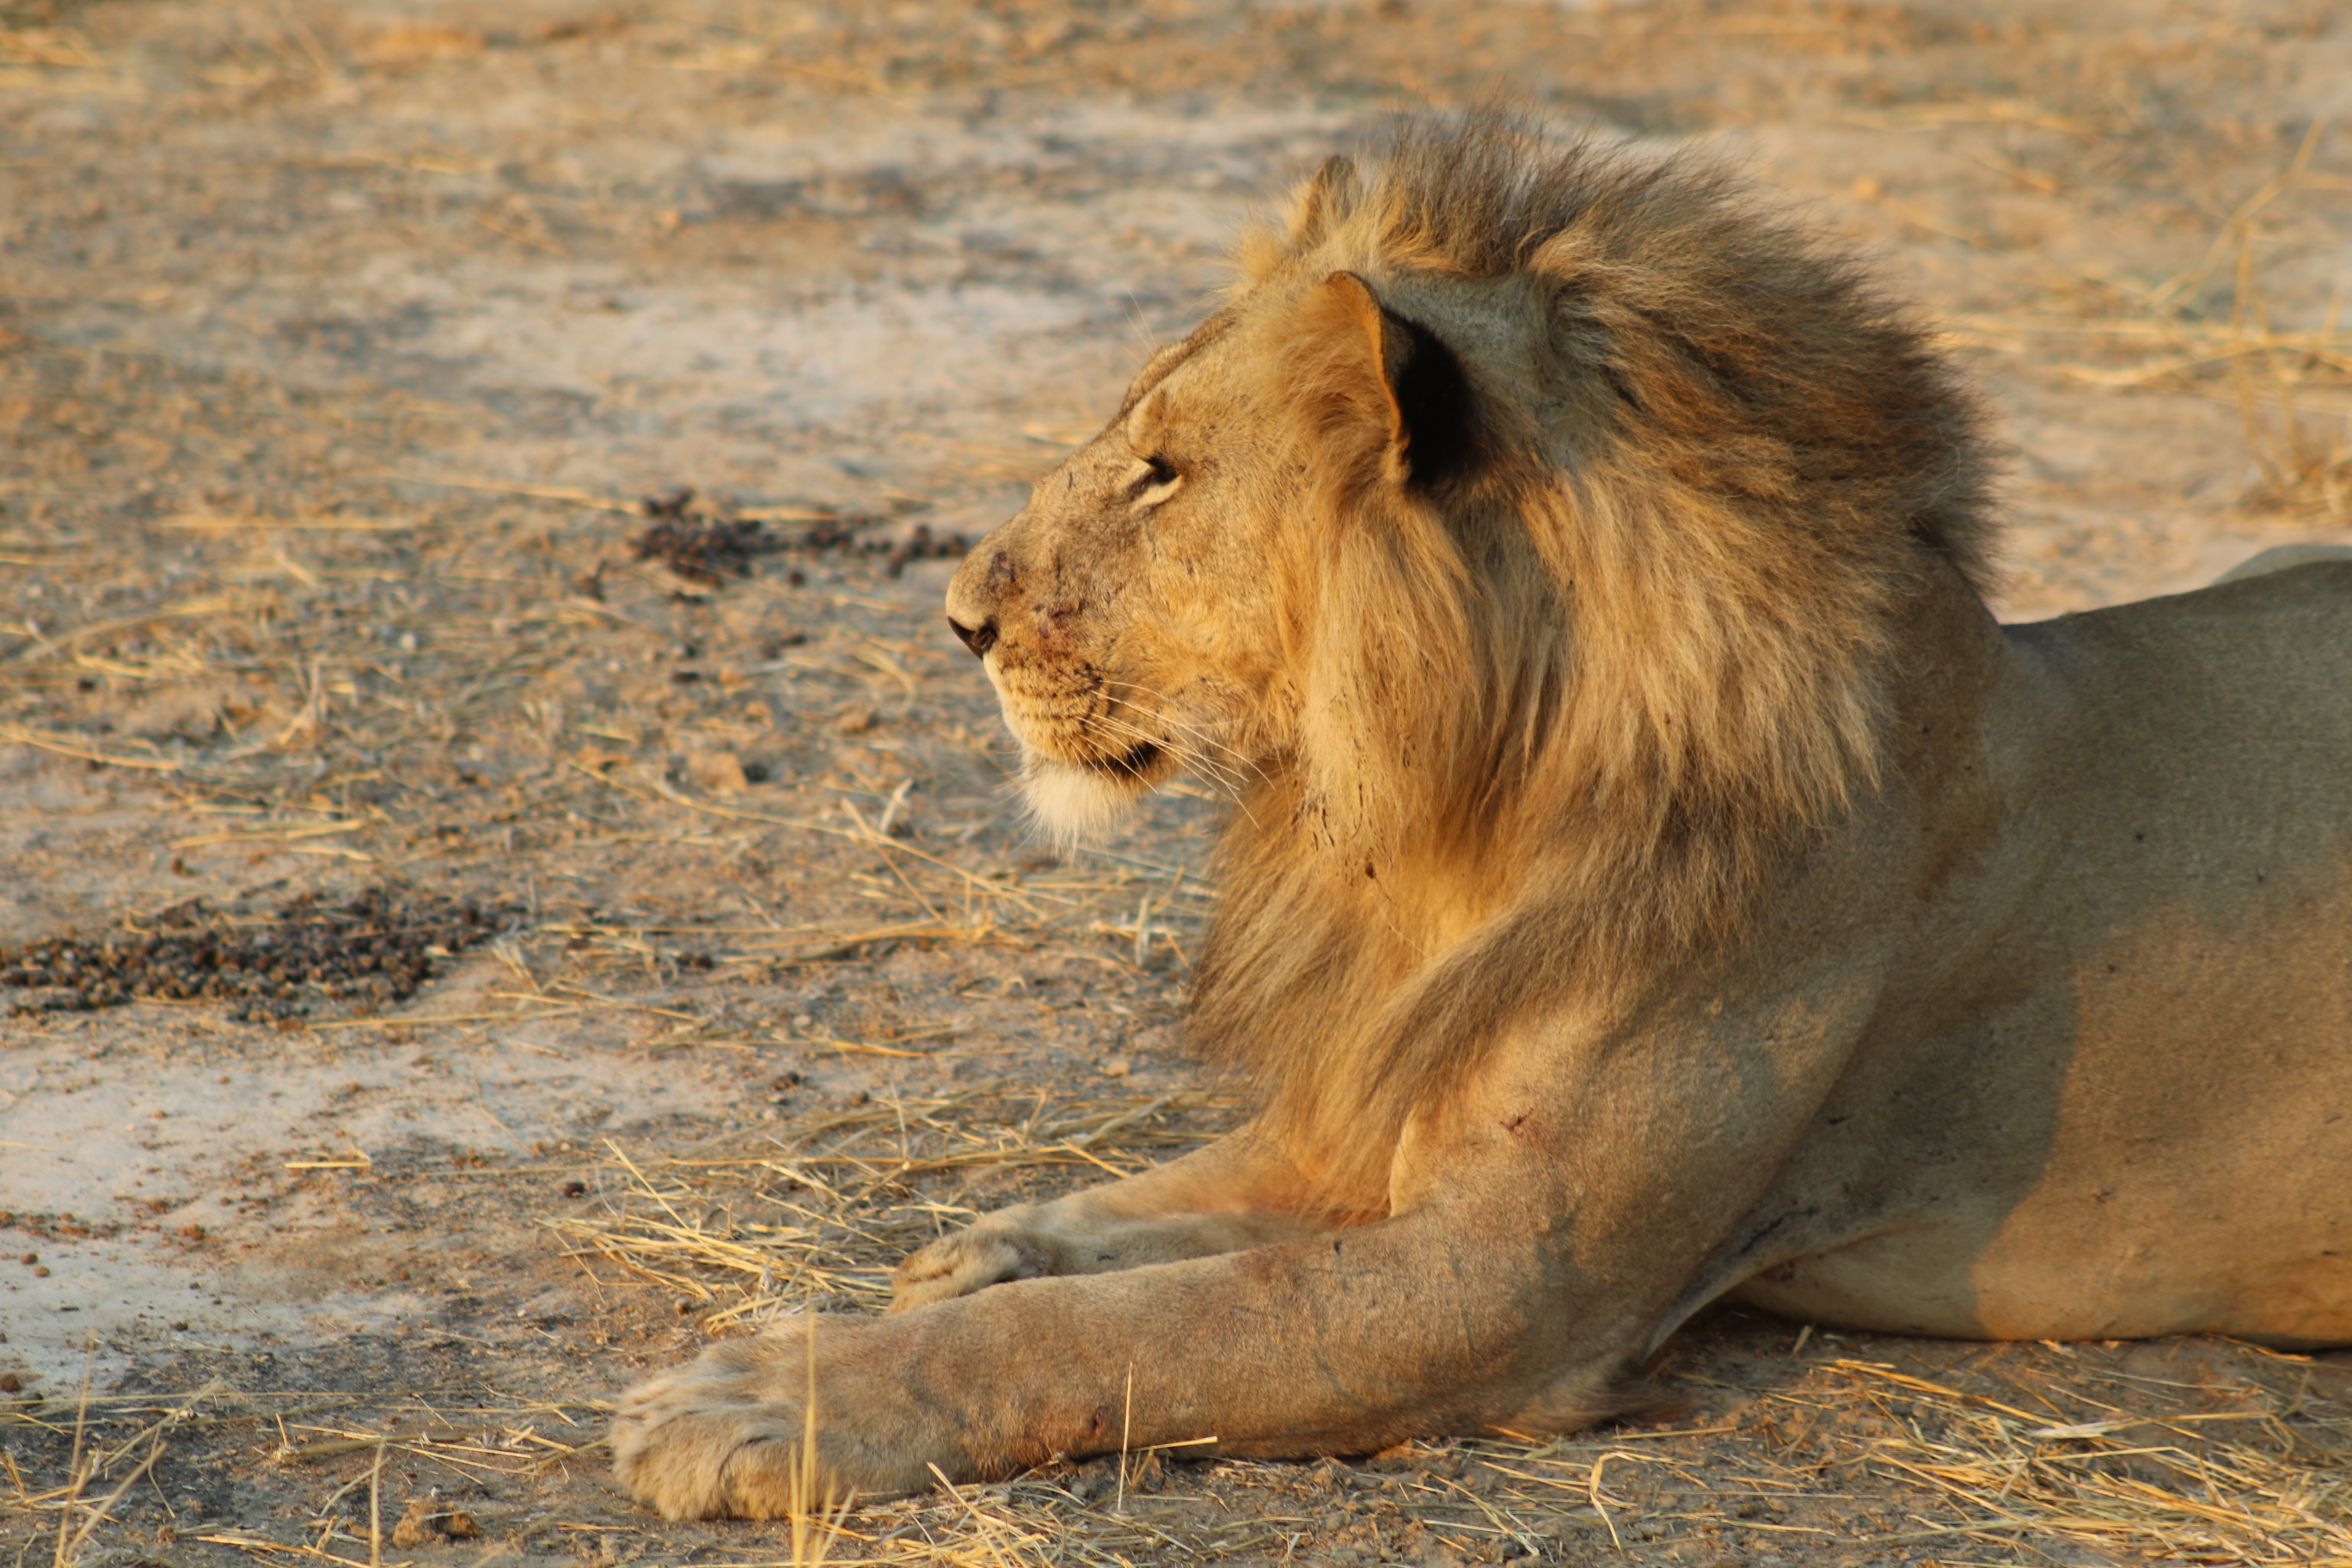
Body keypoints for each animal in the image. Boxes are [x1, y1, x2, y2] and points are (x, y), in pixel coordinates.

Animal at [612, 115, 2352, 1517]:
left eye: (1164, 473)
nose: (959, 618)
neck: (1451, 829)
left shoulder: (1515, 1283)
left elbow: (1157, 1320)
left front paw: (770, 1396)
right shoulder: (1373, 1096)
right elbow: (1168, 1209)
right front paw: (979, 1249)